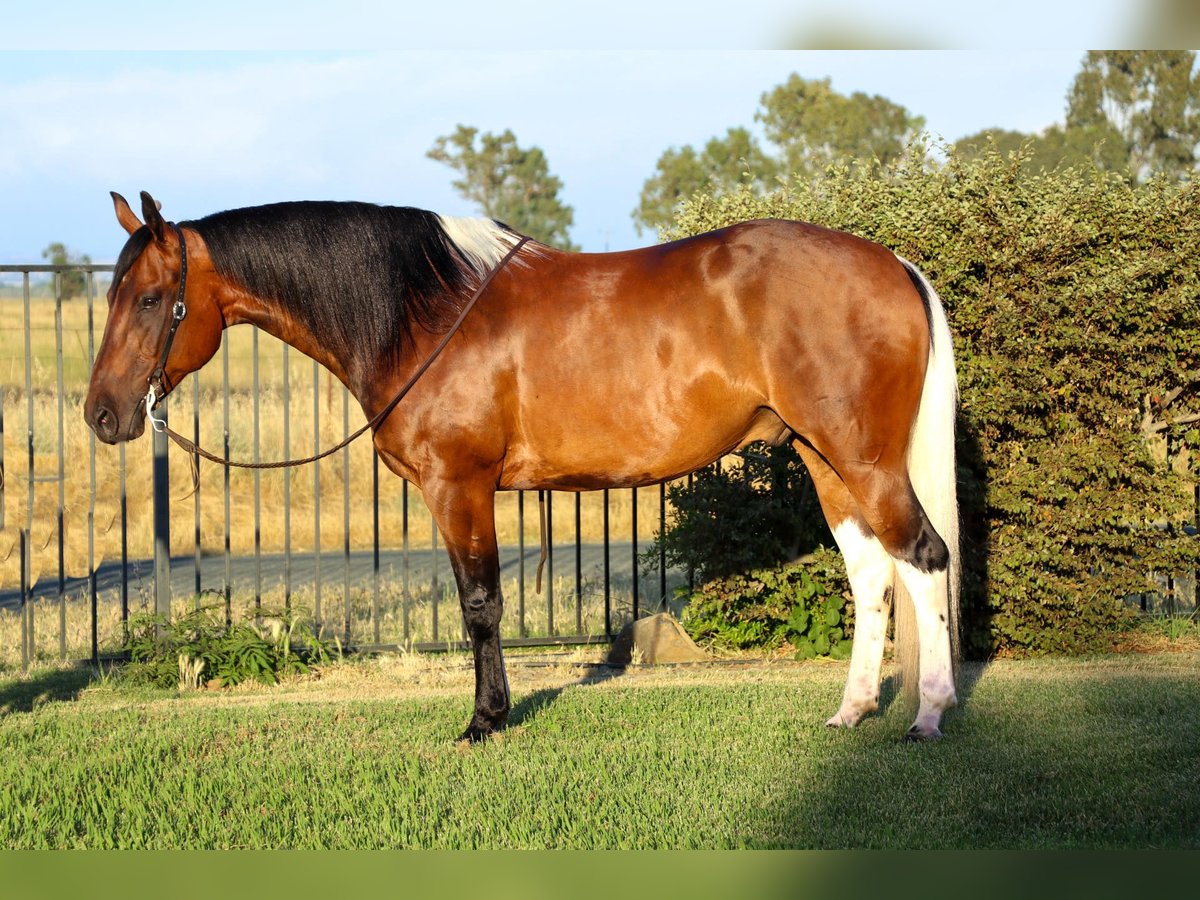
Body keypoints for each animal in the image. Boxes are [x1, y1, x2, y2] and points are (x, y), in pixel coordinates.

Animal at [85, 190, 960, 742]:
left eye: (152, 298)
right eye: (112, 296)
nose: (101, 414)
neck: (422, 313)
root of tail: (893, 264)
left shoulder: (459, 487)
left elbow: (480, 605)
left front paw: (484, 720)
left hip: (864, 459)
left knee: (922, 558)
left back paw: (929, 714)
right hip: (824, 459)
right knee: (872, 575)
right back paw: (852, 711)